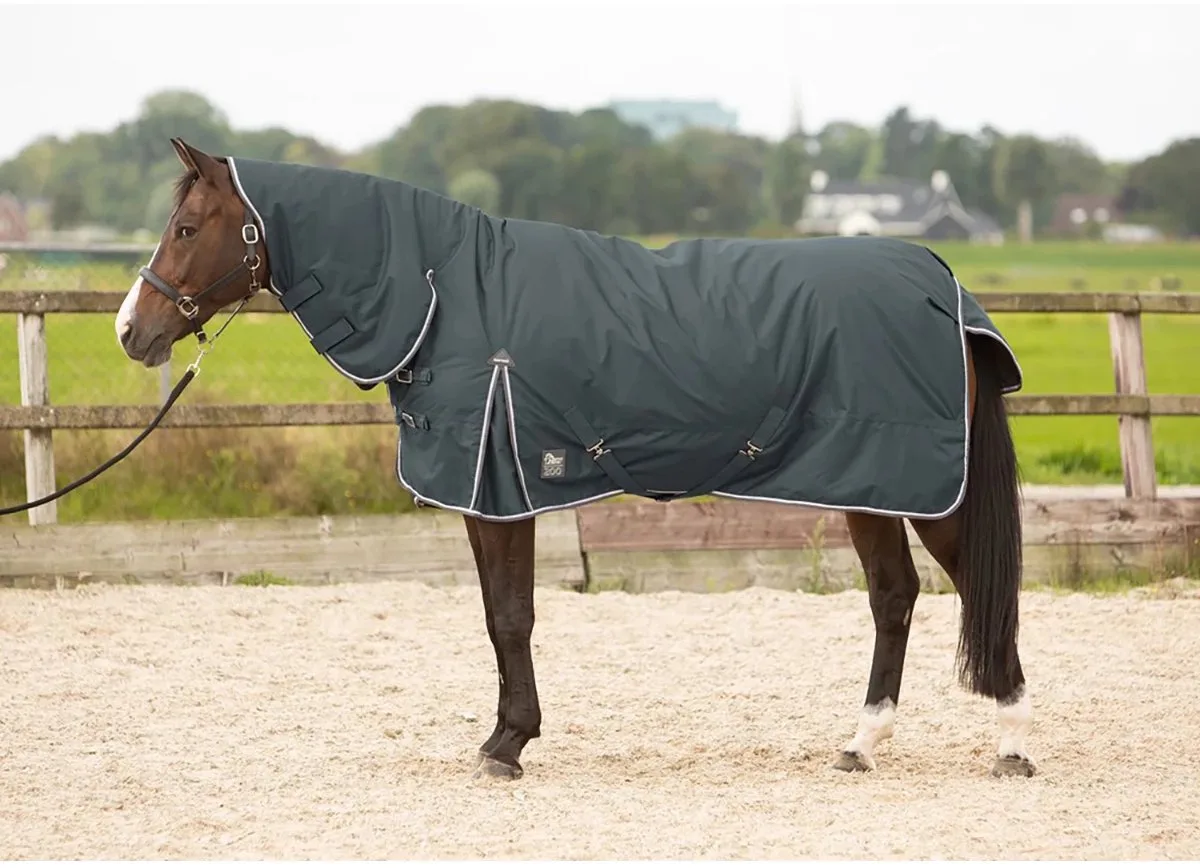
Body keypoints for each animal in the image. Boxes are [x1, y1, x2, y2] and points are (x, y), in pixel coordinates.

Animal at [115, 137, 1035, 780]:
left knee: (980, 591)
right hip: (868, 481)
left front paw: (506, 745)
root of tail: (941, 281)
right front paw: (504, 736)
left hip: (922, 488)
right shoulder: (491, 496)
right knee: (895, 596)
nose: (131, 330)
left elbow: (511, 617)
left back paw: (1010, 742)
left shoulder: (501, 490)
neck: (445, 293)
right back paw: (861, 743)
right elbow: (499, 615)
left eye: (186, 229)